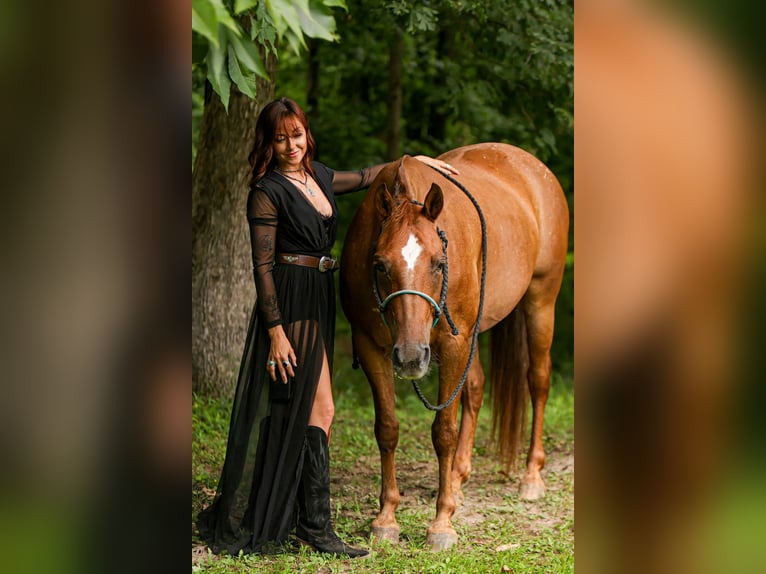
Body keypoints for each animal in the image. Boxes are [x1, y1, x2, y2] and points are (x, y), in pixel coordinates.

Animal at [339, 142, 569, 550]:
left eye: (438, 263)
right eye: (379, 265)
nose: (410, 356)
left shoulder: (450, 345)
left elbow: (443, 432)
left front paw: (442, 522)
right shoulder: (370, 347)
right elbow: (387, 428)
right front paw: (386, 517)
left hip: (540, 302)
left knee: (538, 381)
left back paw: (531, 476)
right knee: (475, 388)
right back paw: (460, 478)